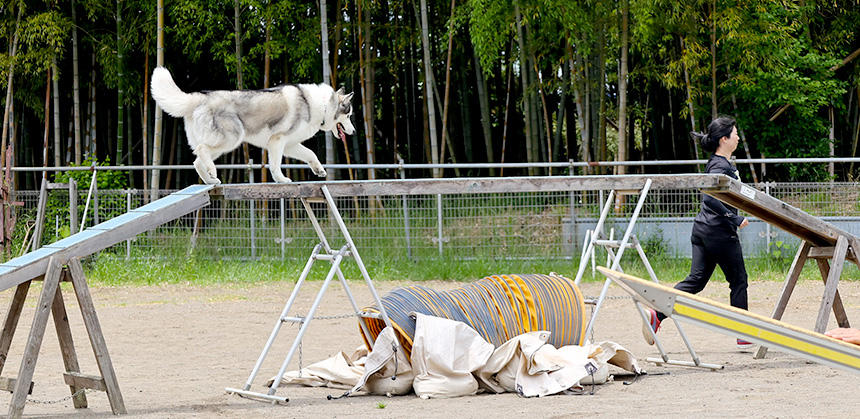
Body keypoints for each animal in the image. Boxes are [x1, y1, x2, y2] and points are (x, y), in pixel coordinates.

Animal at [152, 66, 356, 183]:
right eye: (349, 115)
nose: (354, 132)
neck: (321, 105)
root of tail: (199, 97)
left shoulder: (290, 145)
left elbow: (310, 154)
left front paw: (319, 170)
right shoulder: (277, 141)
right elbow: (275, 166)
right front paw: (282, 180)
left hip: (221, 145)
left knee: (196, 161)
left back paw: (211, 181)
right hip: (232, 139)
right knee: (202, 150)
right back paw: (212, 172)